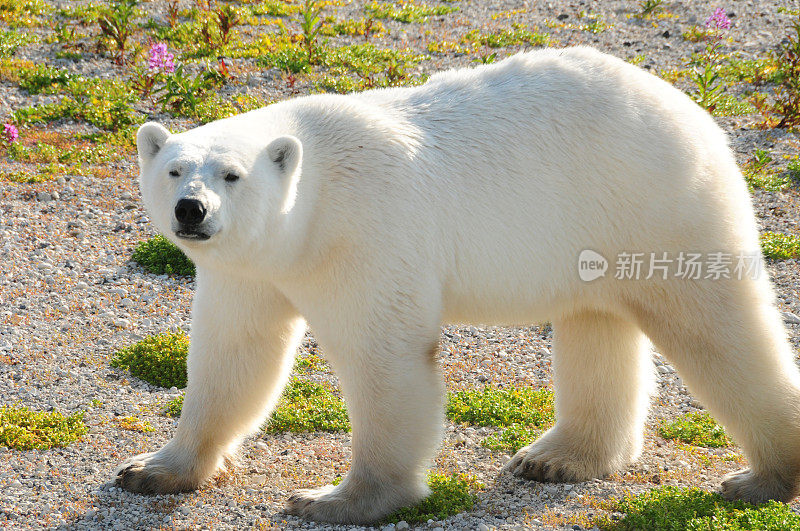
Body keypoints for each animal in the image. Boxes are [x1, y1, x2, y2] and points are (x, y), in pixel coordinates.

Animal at [115, 48, 800, 524]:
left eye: (231, 174)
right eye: (175, 168)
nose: (191, 210)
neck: (314, 199)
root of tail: (692, 111)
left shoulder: (366, 235)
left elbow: (384, 358)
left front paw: (337, 499)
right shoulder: (250, 269)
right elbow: (233, 357)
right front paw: (152, 469)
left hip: (653, 203)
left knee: (716, 324)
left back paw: (763, 477)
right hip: (591, 234)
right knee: (595, 323)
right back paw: (557, 456)